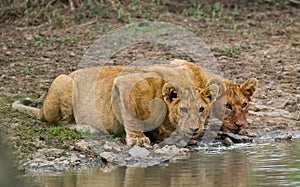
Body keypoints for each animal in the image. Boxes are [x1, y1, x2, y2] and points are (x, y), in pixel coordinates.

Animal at [12, 65, 219, 147]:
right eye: (183, 109)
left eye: (201, 109)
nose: (195, 128)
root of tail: (42, 109)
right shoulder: (124, 84)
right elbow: (133, 118)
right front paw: (138, 140)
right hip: (64, 82)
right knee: (58, 123)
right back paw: (86, 128)